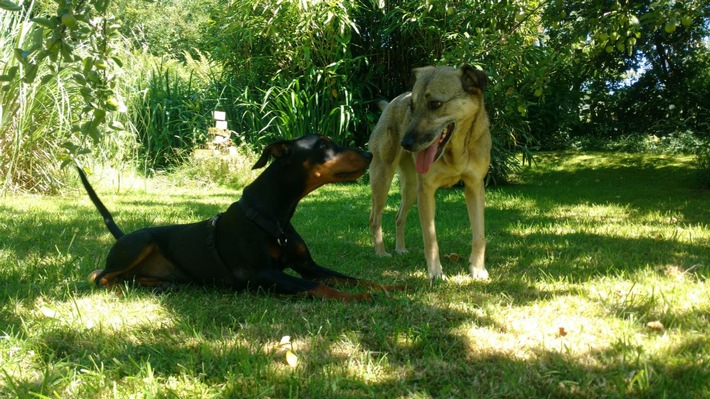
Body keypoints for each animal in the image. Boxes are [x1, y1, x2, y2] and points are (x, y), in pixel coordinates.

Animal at [80, 136, 404, 302]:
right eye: (323, 145)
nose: (368, 154)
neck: (275, 215)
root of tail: (122, 236)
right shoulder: (262, 274)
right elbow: (318, 287)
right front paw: (362, 298)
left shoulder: (307, 265)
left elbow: (355, 278)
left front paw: (397, 288)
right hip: (141, 240)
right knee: (100, 276)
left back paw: (159, 285)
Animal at [370, 65, 492, 282]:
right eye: (412, 106)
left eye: (435, 104)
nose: (405, 143)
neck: (455, 153)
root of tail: (391, 103)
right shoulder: (426, 191)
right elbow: (430, 238)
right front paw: (435, 273)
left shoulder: (475, 187)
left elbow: (479, 235)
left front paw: (478, 269)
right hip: (382, 180)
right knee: (375, 219)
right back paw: (381, 252)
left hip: (411, 189)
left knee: (398, 217)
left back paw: (400, 249)